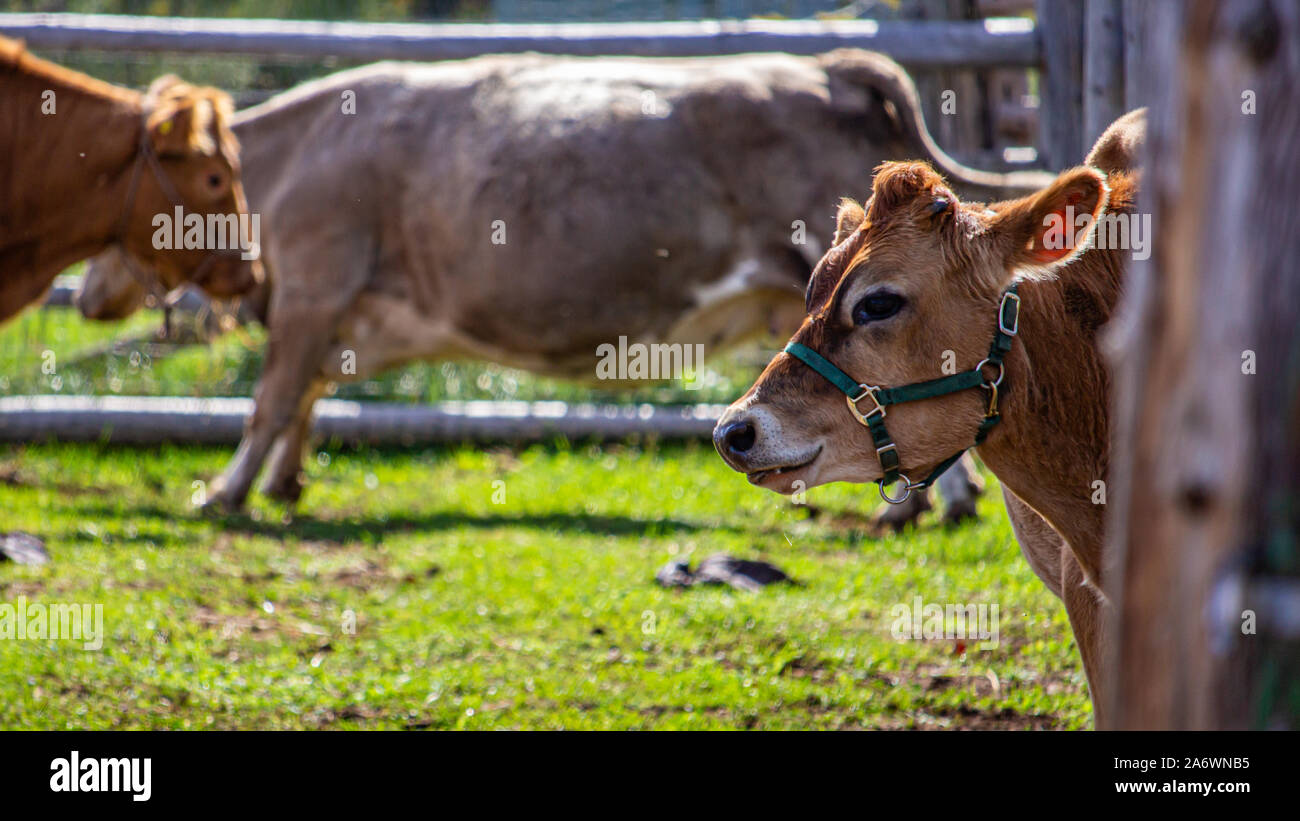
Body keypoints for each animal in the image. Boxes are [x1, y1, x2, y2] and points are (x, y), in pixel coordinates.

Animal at [69, 50, 1051, 511]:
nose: (81, 291)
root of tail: (825, 65)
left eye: (113, 178)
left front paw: (225, 491)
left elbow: (272, 399)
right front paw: (283, 484)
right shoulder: (335, 309)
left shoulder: (312, 284)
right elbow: (306, 397)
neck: (290, 156)